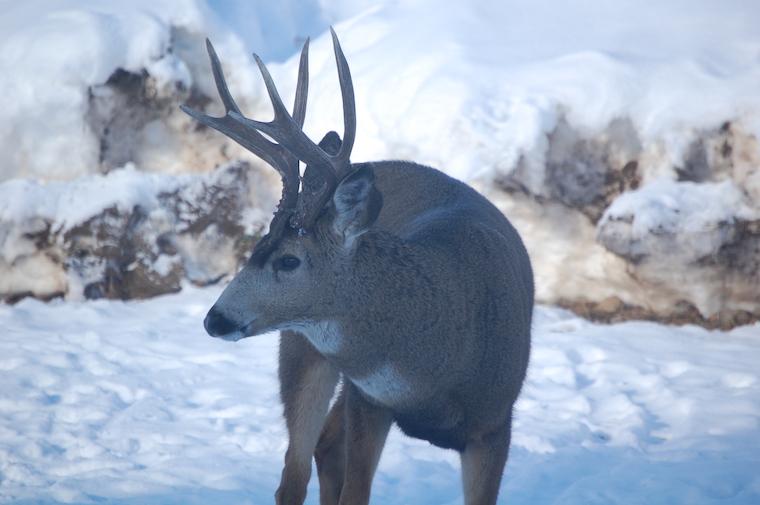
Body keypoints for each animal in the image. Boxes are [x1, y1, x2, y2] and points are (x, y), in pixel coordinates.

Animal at [181, 28, 533, 505]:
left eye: (289, 260)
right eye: (256, 247)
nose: (215, 318)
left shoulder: (496, 424)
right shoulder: (368, 401)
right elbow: (353, 490)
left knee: (323, 449)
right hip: (302, 354)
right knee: (296, 473)